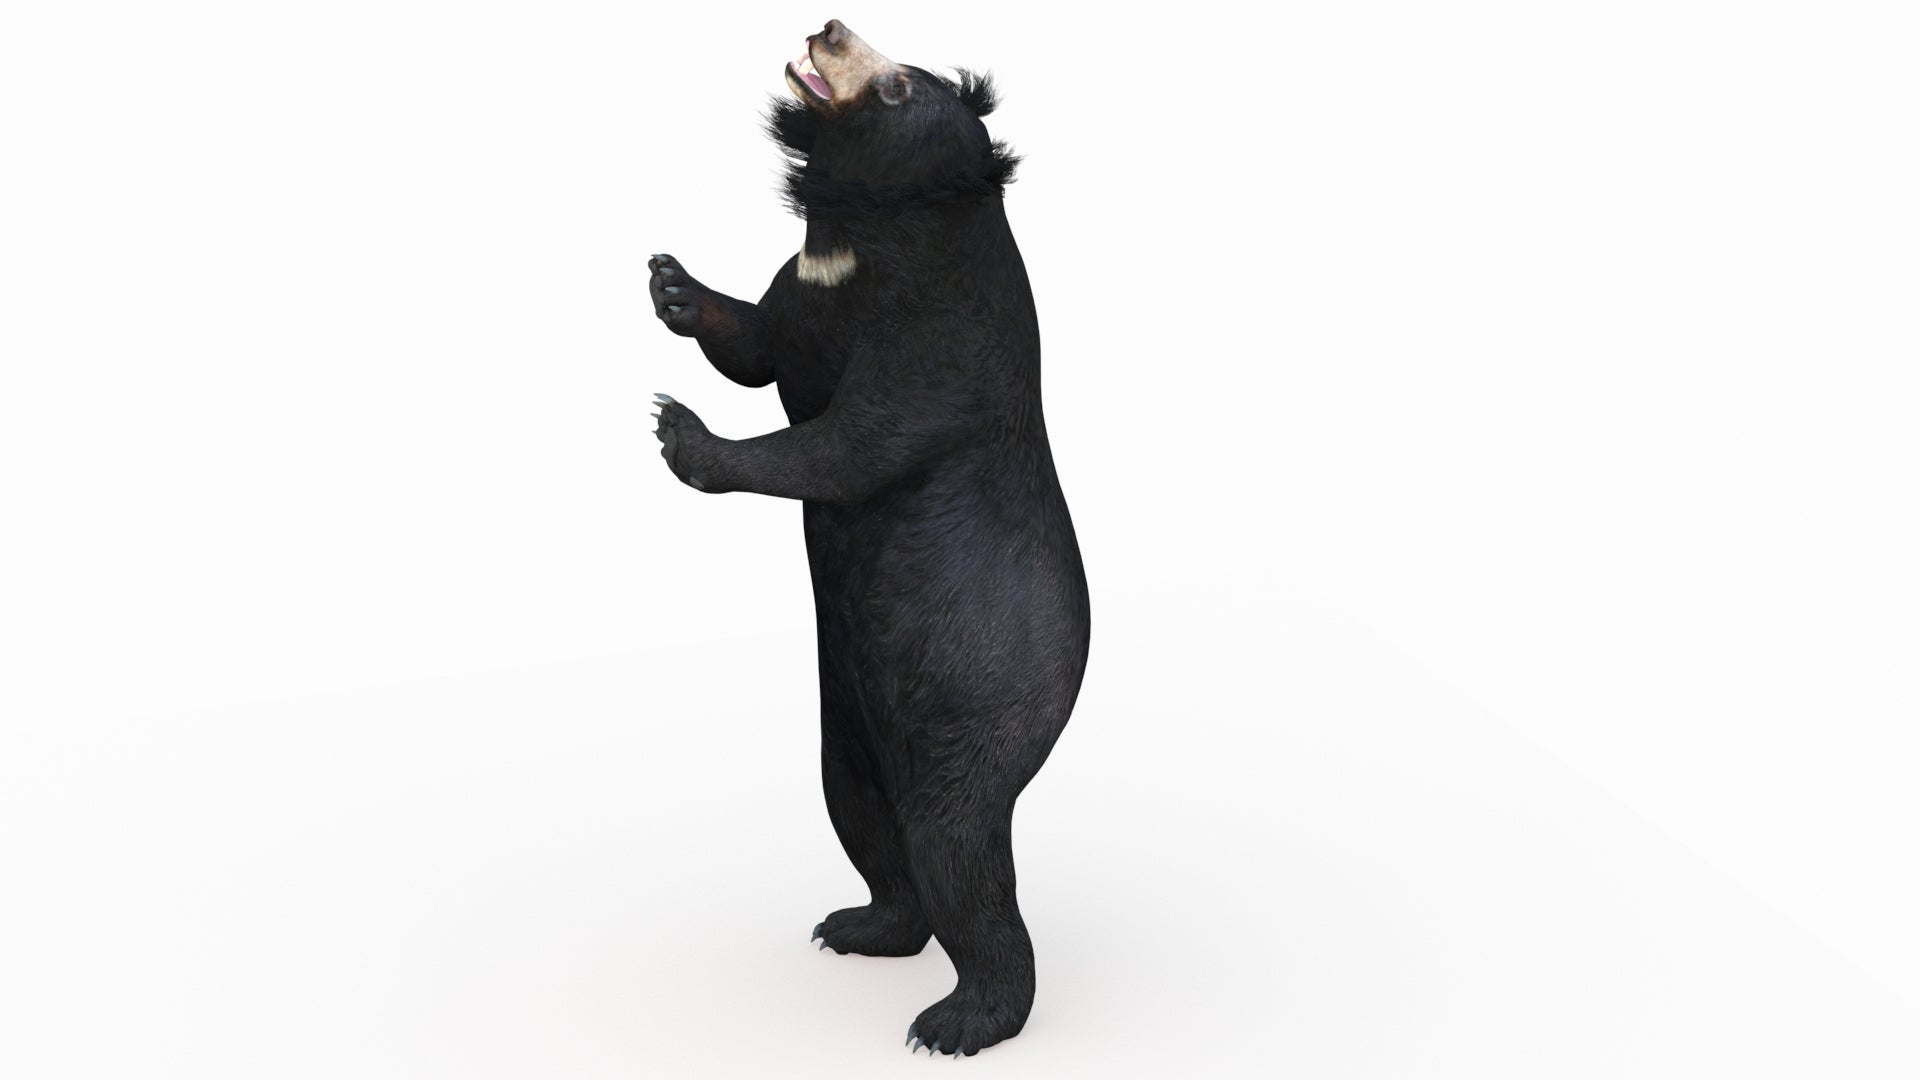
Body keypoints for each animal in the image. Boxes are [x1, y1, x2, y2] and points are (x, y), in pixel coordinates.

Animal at [647, 19, 1090, 1058]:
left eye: (896, 89)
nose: (828, 28)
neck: (859, 238)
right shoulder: (805, 287)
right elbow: (757, 339)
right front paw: (674, 284)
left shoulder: (938, 333)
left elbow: (849, 444)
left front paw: (681, 432)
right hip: (845, 729)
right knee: (867, 825)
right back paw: (862, 926)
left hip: (977, 702)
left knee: (959, 855)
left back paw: (961, 1018)